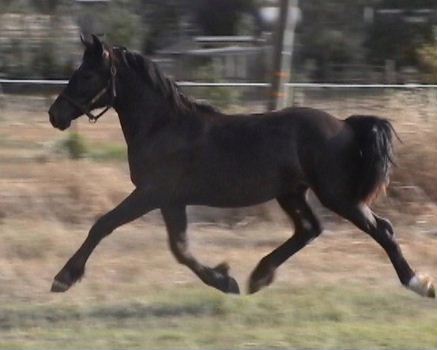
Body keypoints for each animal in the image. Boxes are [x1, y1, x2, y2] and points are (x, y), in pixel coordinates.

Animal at [48, 34, 432, 298]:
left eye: (86, 74)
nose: (55, 115)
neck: (163, 126)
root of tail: (345, 124)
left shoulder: (152, 194)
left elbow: (103, 225)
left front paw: (63, 278)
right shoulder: (172, 200)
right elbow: (181, 249)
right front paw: (225, 279)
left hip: (337, 195)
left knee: (381, 229)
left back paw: (419, 283)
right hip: (292, 193)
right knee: (309, 229)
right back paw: (259, 275)